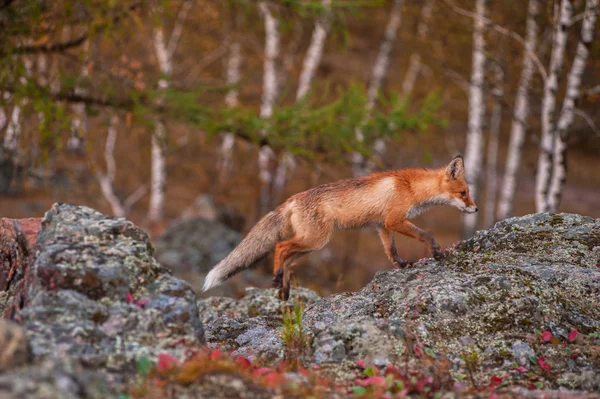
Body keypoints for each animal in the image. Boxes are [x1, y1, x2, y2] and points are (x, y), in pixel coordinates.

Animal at [204, 156, 476, 300]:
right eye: (463, 193)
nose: (475, 209)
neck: (411, 188)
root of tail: (292, 199)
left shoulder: (382, 225)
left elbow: (391, 251)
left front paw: (402, 265)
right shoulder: (394, 220)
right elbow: (425, 234)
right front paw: (437, 251)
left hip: (312, 245)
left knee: (289, 260)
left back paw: (285, 290)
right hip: (315, 241)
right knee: (280, 246)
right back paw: (276, 278)